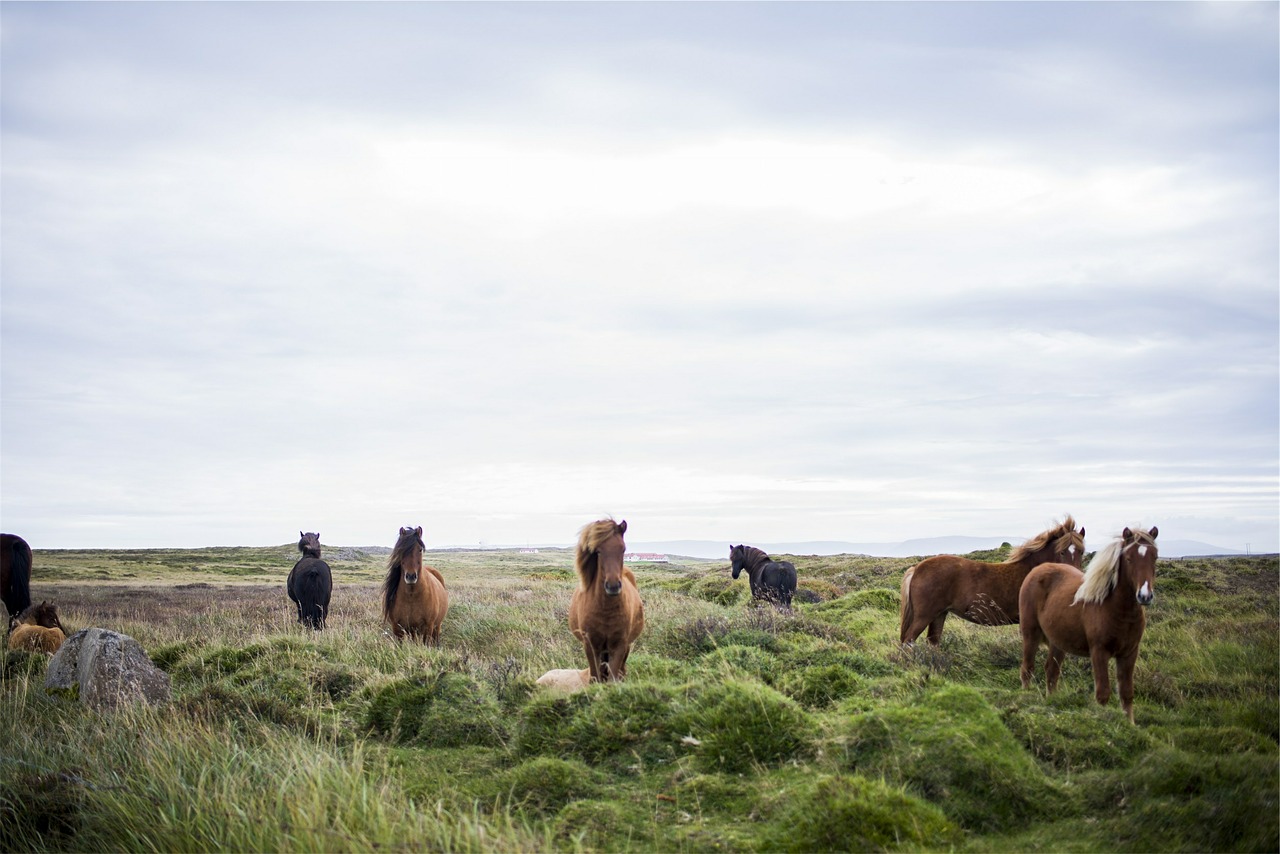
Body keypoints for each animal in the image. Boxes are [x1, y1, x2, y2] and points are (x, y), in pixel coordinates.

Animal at [570, 517, 645, 686]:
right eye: (598, 551)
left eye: (623, 549)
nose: (613, 586)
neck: (605, 609)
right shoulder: (591, 645)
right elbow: (595, 677)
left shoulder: (619, 645)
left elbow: (613, 678)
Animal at [896, 514, 1085, 647]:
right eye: (1061, 552)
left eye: (1081, 551)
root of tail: (917, 568)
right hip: (924, 616)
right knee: (908, 641)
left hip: (939, 614)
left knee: (932, 642)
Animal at [1018, 524, 1162, 727]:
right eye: (1129, 558)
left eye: (1154, 557)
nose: (1144, 596)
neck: (1118, 610)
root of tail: (1038, 570)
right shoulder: (1099, 652)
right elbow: (1103, 693)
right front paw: (1103, 722)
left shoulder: (1129, 653)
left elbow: (1126, 693)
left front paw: (1130, 725)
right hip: (1031, 634)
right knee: (1027, 669)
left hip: (1058, 642)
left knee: (1051, 671)